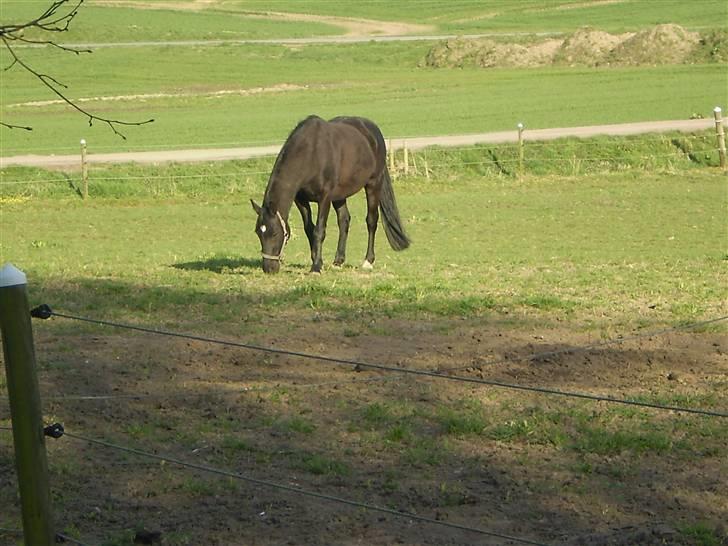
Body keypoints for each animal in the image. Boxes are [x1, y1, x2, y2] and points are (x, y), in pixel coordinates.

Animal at [250, 116, 410, 274]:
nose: (269, 268)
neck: (311, 154)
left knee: (371, 220)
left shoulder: (324, 198)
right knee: (344, 220)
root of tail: (372, 130)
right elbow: (309, 229)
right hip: (340, 195)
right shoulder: (301, 200)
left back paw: (368, 261)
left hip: (373, 184)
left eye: (274, 233)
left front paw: (316, 266)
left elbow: (319, 231)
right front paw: (316, 259)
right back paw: (338, 261)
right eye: (258, 233)